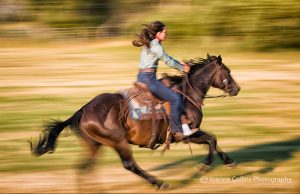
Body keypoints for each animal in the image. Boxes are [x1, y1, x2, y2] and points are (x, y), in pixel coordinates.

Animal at [29, 54, 241, 189]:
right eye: (228, 72)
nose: (236, 89)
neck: (187, 95)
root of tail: (82, 111)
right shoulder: (185, 135)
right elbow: (211, 139)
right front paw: (204, 165)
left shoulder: (193, 131)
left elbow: (214, 140)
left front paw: (229, 161)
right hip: (119, 142)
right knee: (129, 164)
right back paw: (160, 183)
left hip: (94, 145)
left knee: (84, 169)